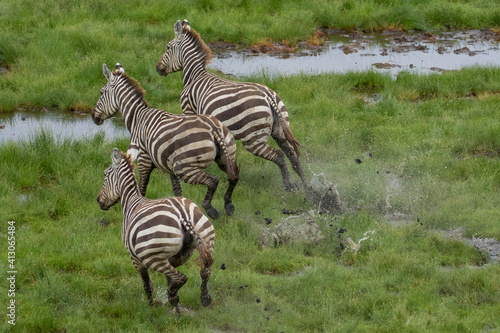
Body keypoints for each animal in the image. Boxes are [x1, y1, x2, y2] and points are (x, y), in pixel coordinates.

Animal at [92, 63, 240, 220]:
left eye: (101, 93)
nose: (93, 116)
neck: (137, 117)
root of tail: (213, 129)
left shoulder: (144, 158)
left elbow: (141, 187)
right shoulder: (168, 167)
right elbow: (177, 190)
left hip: (184, 167)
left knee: (214, 180)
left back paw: (210, 208)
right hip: (226, 155)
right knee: (234, 176)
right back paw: (228, 205)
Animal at [97, 148, 215, 314]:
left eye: (105, 175)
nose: (98, 200)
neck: (131, 201)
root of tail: (182, 215)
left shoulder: (135, 259)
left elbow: (148, 284)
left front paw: (151, 307)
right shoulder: (173, 259)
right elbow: (169, 279)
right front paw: (176, 308)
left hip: (152, 256)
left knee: (182, 277)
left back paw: (172, 296)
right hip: (206, 239)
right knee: (205, 271)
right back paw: (203, 298)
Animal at [156, 20, 306, 192]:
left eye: (168, 47)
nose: (157, 68)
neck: (195, 76)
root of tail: (268, 96)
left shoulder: (188, 111)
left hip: (253, 138)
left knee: (279, 155)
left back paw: (288, 186)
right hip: (280, 127)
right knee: (293, 156)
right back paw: (308, 187)